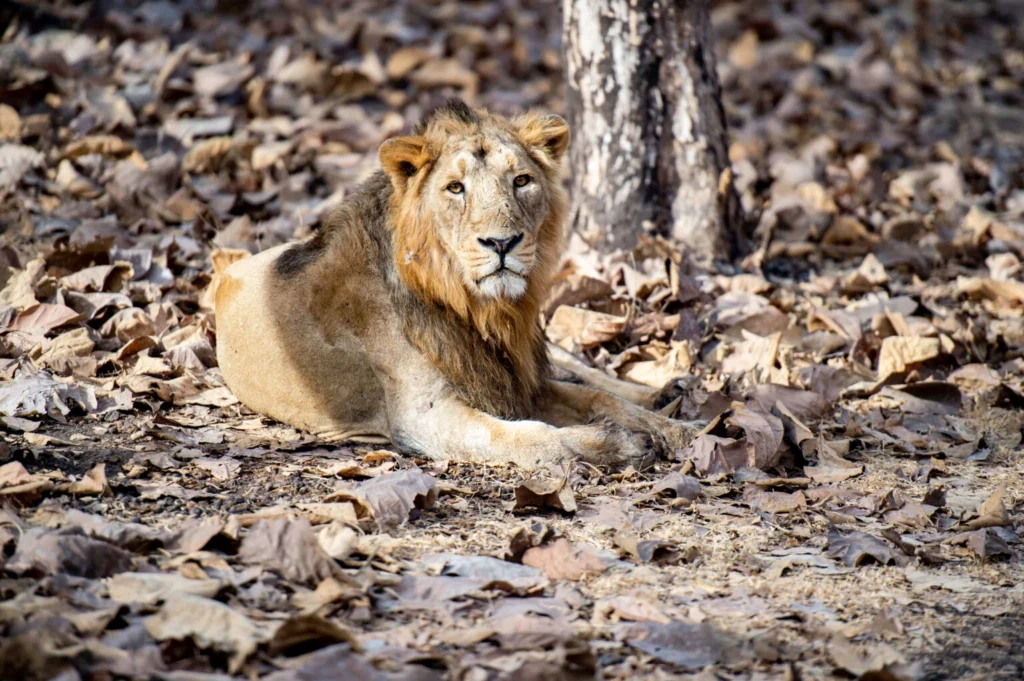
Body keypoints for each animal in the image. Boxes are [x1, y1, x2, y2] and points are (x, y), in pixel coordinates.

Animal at [214, 100, 696, 469]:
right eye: (455, 188)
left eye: (522, 180)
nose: (502, 242)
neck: (479, 310)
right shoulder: (424, 417)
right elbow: (530, 437)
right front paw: (624, 444)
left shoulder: (515, 379)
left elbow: (602, 399)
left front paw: (682, 433)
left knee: (580, 368)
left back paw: (666, 391)